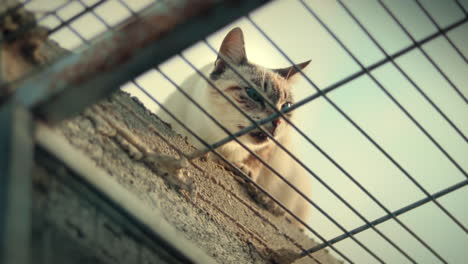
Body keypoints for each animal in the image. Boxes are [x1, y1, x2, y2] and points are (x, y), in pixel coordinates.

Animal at [158, 27, 314, 228]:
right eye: (253, 94)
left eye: (286, 107)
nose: (278, 122)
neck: (225, 143)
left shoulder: (275, 145)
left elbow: (257, 161)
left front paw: (252, 179)